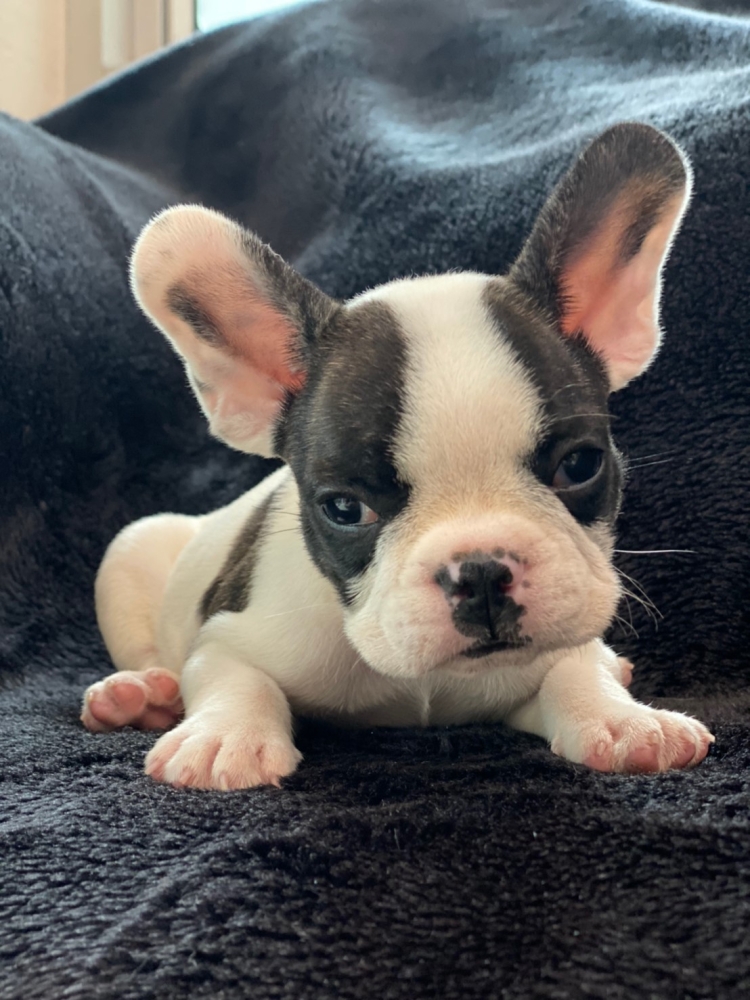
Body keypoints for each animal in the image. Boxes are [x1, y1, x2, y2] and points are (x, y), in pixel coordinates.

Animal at [81, 122, 714, 790]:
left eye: (580, 465)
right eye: (343, 508)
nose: (479, 571)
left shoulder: (548, 653)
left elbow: (576, 666)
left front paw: (625, 720)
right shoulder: (228, 635)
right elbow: (233, 675)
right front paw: (225, 737)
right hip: (130, 553)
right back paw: (137, 694)